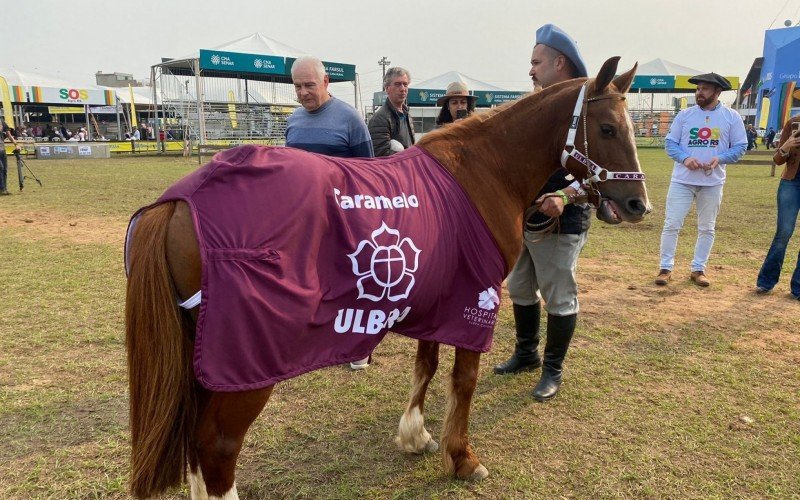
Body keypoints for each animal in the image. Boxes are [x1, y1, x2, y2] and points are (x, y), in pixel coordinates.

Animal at [125, 56, 648, 498]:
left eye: (630, 127)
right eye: (606, 128)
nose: (638, 204)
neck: (483, 171)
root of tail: (180, 200)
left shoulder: (437, 295)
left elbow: (427, 364)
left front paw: (416, 435)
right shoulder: (474, 299)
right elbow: (463, 379)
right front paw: (462, 458)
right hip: (245, 364)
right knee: (216, 446)